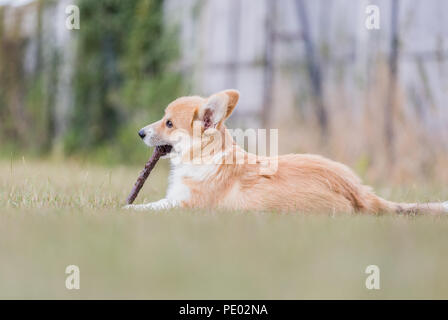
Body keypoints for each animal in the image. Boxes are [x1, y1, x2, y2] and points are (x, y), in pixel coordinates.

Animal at [123, 89, 448, 215]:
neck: (204, 156)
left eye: (168, 123)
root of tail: (360, 193)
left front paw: (124, 210)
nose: (139, 133)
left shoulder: (185, 205)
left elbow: (149, 207)